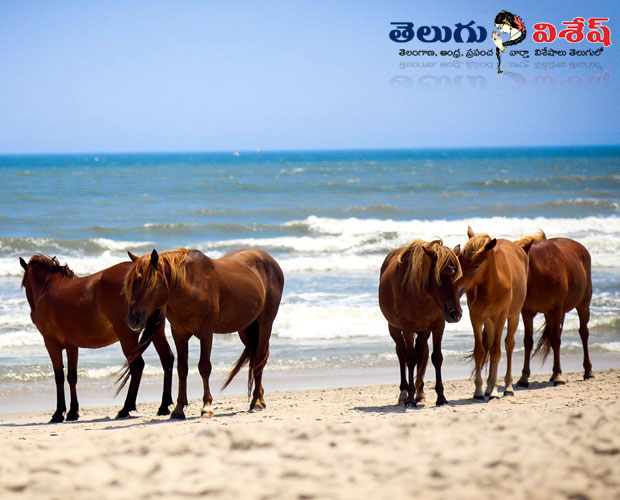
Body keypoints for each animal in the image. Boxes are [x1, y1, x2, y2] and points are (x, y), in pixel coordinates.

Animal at [19, 254, 174, 422]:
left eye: (25, 284)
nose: (32, 316)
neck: (48, 287)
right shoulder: (72, 346)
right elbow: (72, 376)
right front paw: (73, 412)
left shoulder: (51, 344)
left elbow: (59, 376)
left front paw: (59, 413)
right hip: (157, 332)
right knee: (167, 359)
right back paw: (164, 406)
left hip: (127, 336)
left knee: (137, 366)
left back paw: (126, 408)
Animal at [123, 247, 284, 418]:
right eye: (131, 285)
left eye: (148, 283)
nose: (133, 320)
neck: (190, 288)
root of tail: (270, 260)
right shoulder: (179, 335)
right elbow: (182, 369)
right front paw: (179, 409)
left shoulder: (206, 333)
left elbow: (204, 367)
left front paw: (207, 406)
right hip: (246, 329)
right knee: (255, 360)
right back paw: (258, 399)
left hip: (265, 323)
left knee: (259, 357)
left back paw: (258, 402)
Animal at [376, 237, 462, 406]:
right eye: (440, 278)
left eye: (458, 278)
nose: (455, 314)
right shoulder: (407, 328)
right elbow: (410, 359)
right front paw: (410, 397)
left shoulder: (438, 326)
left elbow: (436, 357)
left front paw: (441, 397)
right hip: (394, 328)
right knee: (402, 353)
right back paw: (404, 393)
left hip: (423, 331)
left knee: (422, 352)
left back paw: (420, 392)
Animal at [456, 229, 528, 400]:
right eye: (460, 260)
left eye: (476, 265)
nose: (456, 288)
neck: (492, 285)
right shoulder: (475, 318)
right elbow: (480, 351)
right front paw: (479, 391)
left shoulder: (501, 317)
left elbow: (496, 351)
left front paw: (495, 390)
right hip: (489, 321)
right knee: (489, 345)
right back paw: (488, 388)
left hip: (514, 316)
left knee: (509, 345)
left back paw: (508, 387)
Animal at [512, 231, 596, 386]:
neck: (539, 275)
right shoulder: (527, 312)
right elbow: (528, 341)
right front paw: (524, 377)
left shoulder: (556, 311)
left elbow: (556, 340)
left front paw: (558, 375)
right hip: (549, 315)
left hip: (583, 305)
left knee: (583, 333)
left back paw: (588, 371)